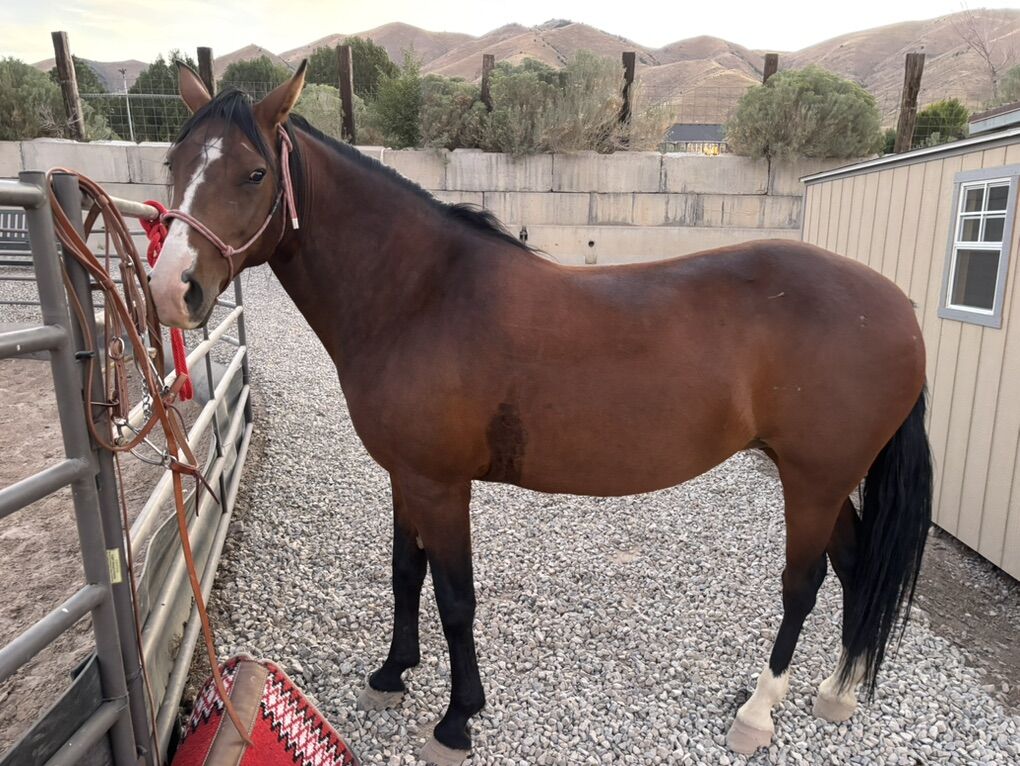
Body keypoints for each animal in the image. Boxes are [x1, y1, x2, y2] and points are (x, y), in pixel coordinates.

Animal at [149, 62, 932, 765]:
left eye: (254, 174)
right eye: (174, 163)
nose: (170, 290)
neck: (419, 294)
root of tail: (899, 309)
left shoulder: (442, 485)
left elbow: (455, 596)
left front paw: (457, 720)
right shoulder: (407, 476)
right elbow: (406, 573)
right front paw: (391, 674)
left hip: (814, 480)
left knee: (805, 585)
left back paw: (758, 714)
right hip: (826, 480)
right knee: (857, 566)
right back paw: (838, 693)